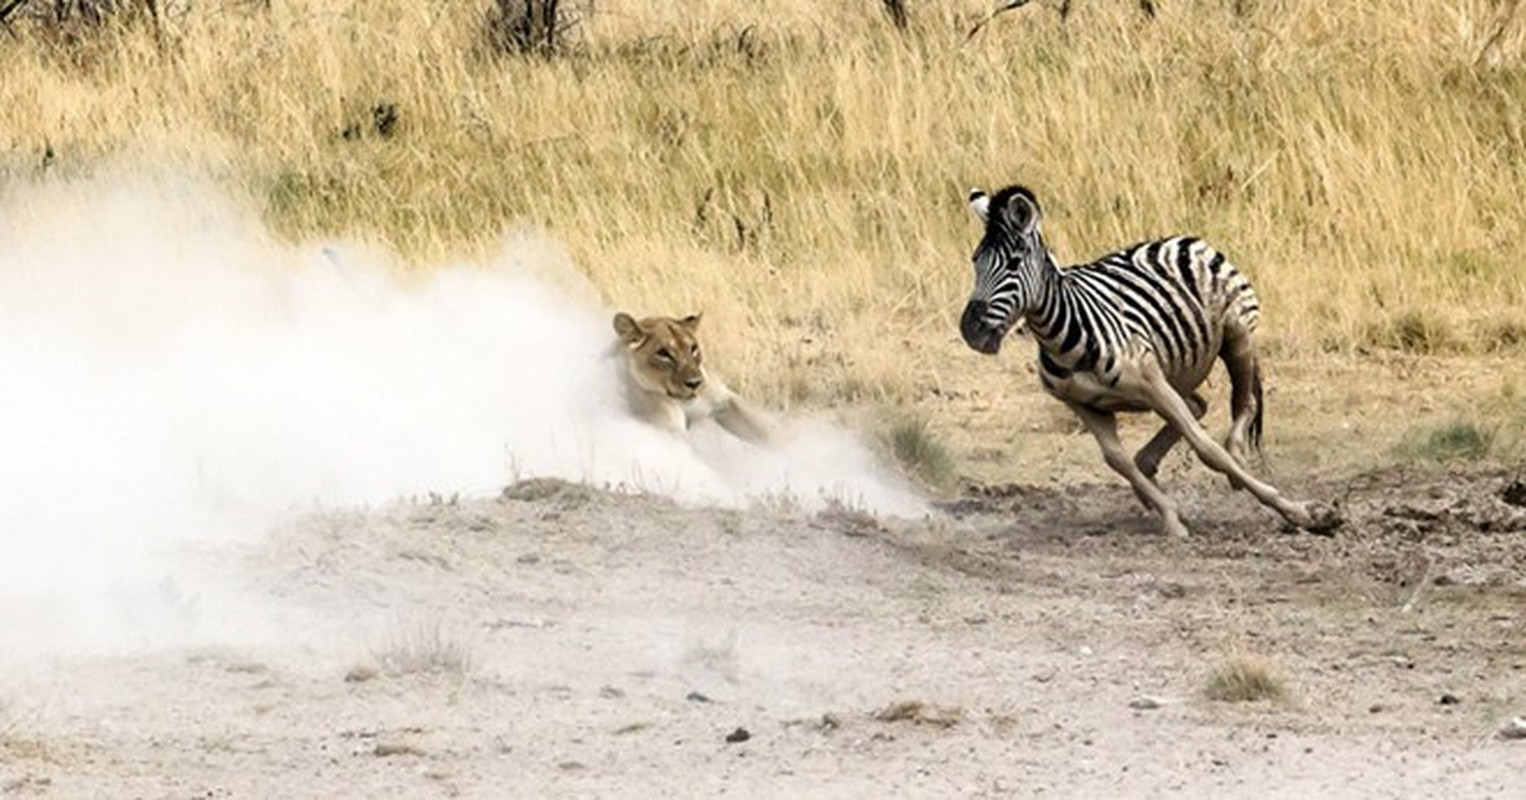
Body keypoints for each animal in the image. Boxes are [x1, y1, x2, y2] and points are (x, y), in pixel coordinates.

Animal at [958, 185, 1342, 537]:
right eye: (975, 261)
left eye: (1013, 264)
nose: (971, 330)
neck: (1064, 337)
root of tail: (1178, 240)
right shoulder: (1083, 404)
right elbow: (1118, 461)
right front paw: (1170, 516)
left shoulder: (1152, 383)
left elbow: (1207, 450)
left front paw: (1304, 514)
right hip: (1178, 370)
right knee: (1196, 406)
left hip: (1236, 335)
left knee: (1242, 403)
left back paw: (1237, 457)